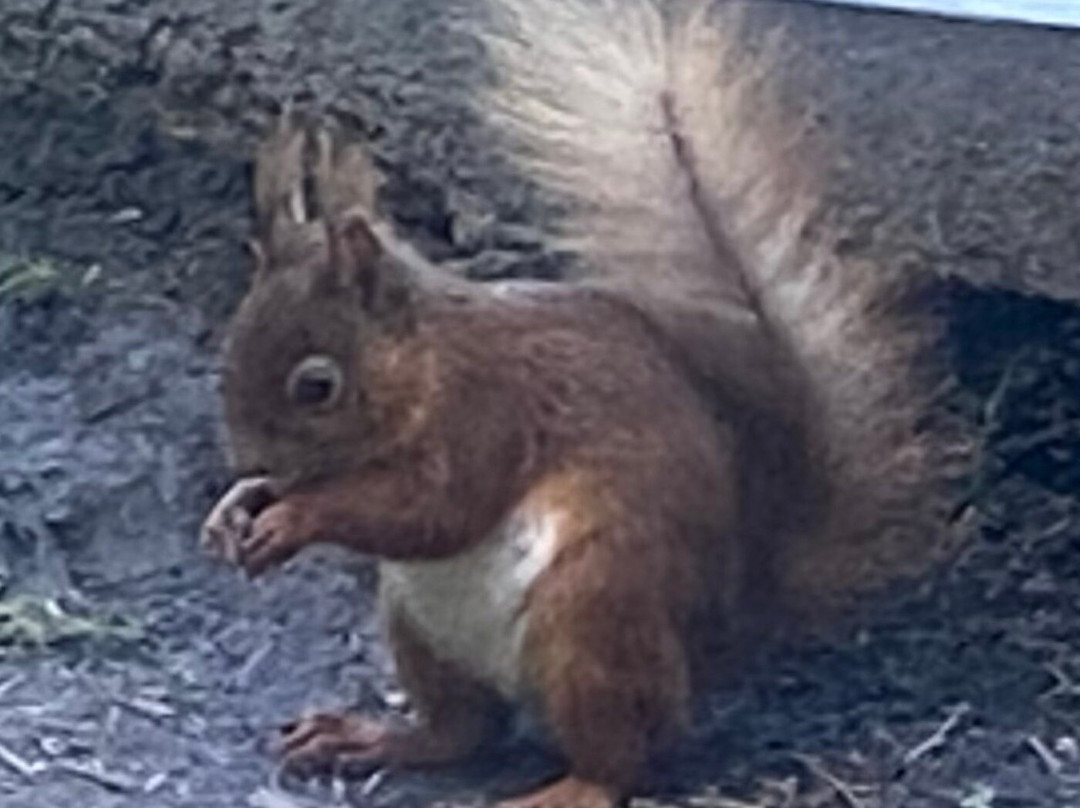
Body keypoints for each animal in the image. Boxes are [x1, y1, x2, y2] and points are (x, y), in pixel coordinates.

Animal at [201, 2, 962, 807]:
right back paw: (369, 737)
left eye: (317, 386)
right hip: (418, 625)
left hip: (592, 616)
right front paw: (237, 508)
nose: (248, 456)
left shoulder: (485, 411)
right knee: (462, 730)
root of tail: (723, 632)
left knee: (623, 757)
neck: (424, 359)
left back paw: (564, 789)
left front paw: (291, 519)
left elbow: (432, 509)